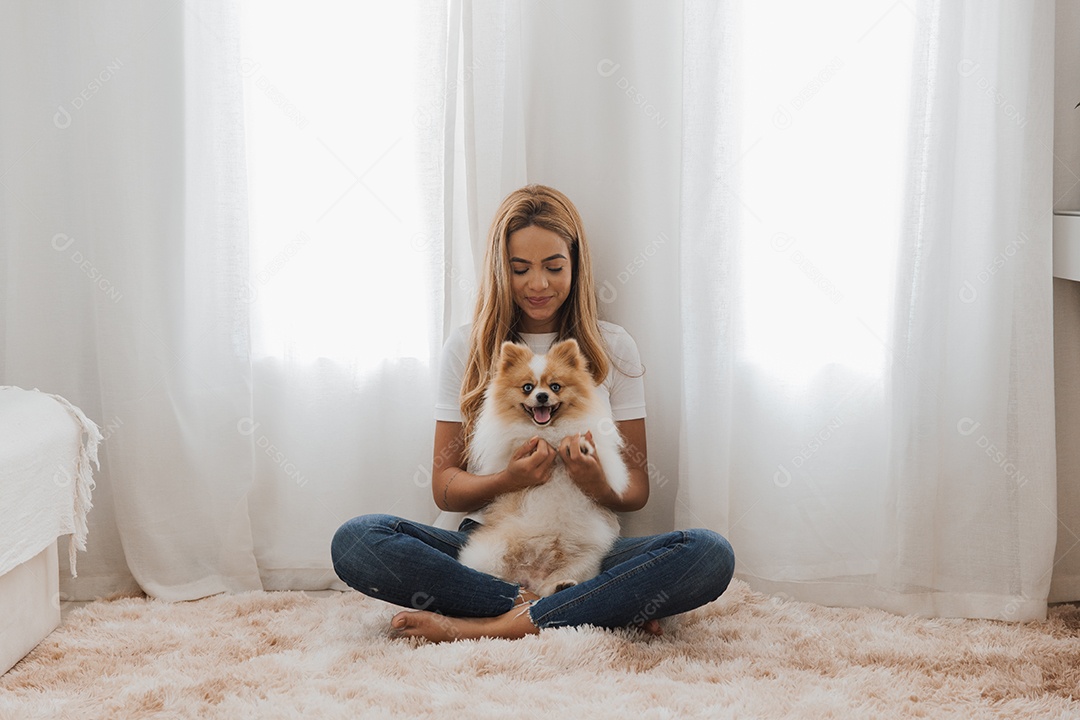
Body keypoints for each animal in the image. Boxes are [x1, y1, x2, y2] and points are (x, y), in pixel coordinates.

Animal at [457, 338, 630, 595]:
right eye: (527, 387)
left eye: (555, 387)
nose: (541, 396)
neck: (549, 432)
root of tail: (529, 576)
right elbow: (515, 443)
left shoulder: (605, 461)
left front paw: (580, 445)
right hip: (490, 551)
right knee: (495, 577)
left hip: (585, 559)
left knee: (547, 589)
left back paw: (559, 586)